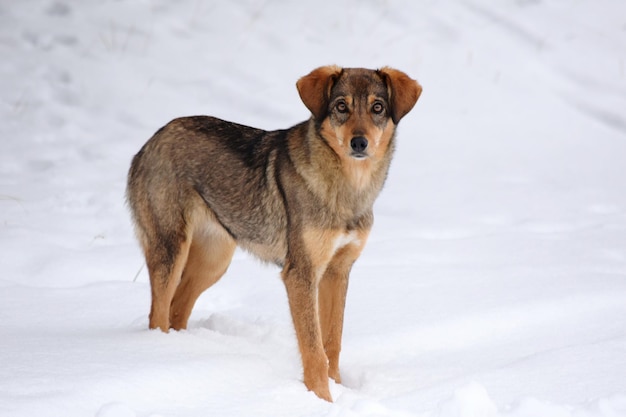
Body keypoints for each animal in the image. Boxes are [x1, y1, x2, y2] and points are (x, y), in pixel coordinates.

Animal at [126, 66, 420, 400]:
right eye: (341, 106)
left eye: (377, 107)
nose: (359, 143)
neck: (347, 191)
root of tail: (151, 139)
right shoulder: (300, 274)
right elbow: (314, 351)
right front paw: (321, 400)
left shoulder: (338, 271)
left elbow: (332, 343)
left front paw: (337, 390)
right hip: (171, 252)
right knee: (158, 315)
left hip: (214, 263)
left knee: (177, 311)